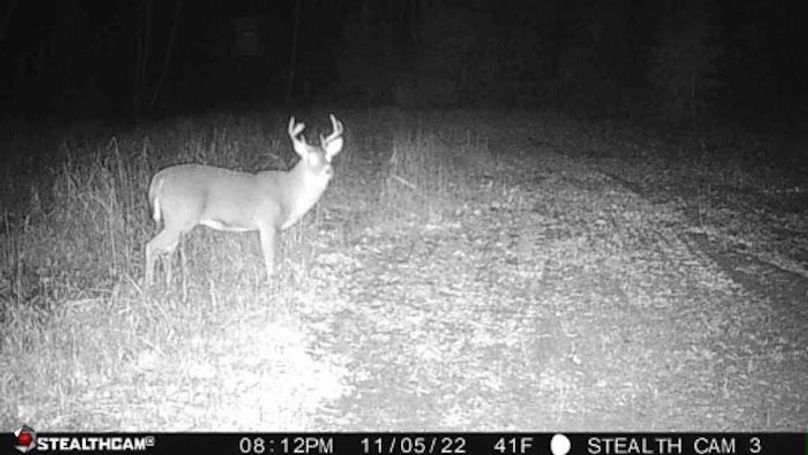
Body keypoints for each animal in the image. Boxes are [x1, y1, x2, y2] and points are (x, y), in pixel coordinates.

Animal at [144, 114, 344, 286]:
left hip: (176, 221)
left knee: (167, 251)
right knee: (151, 246)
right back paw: (149, 286)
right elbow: (269, 257)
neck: (290, 191)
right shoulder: (268, 222)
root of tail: (159, 179)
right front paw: (272, 282)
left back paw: (169, 283)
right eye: (310, 158)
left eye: (328, 157)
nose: (329, 171)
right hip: (180, 217)